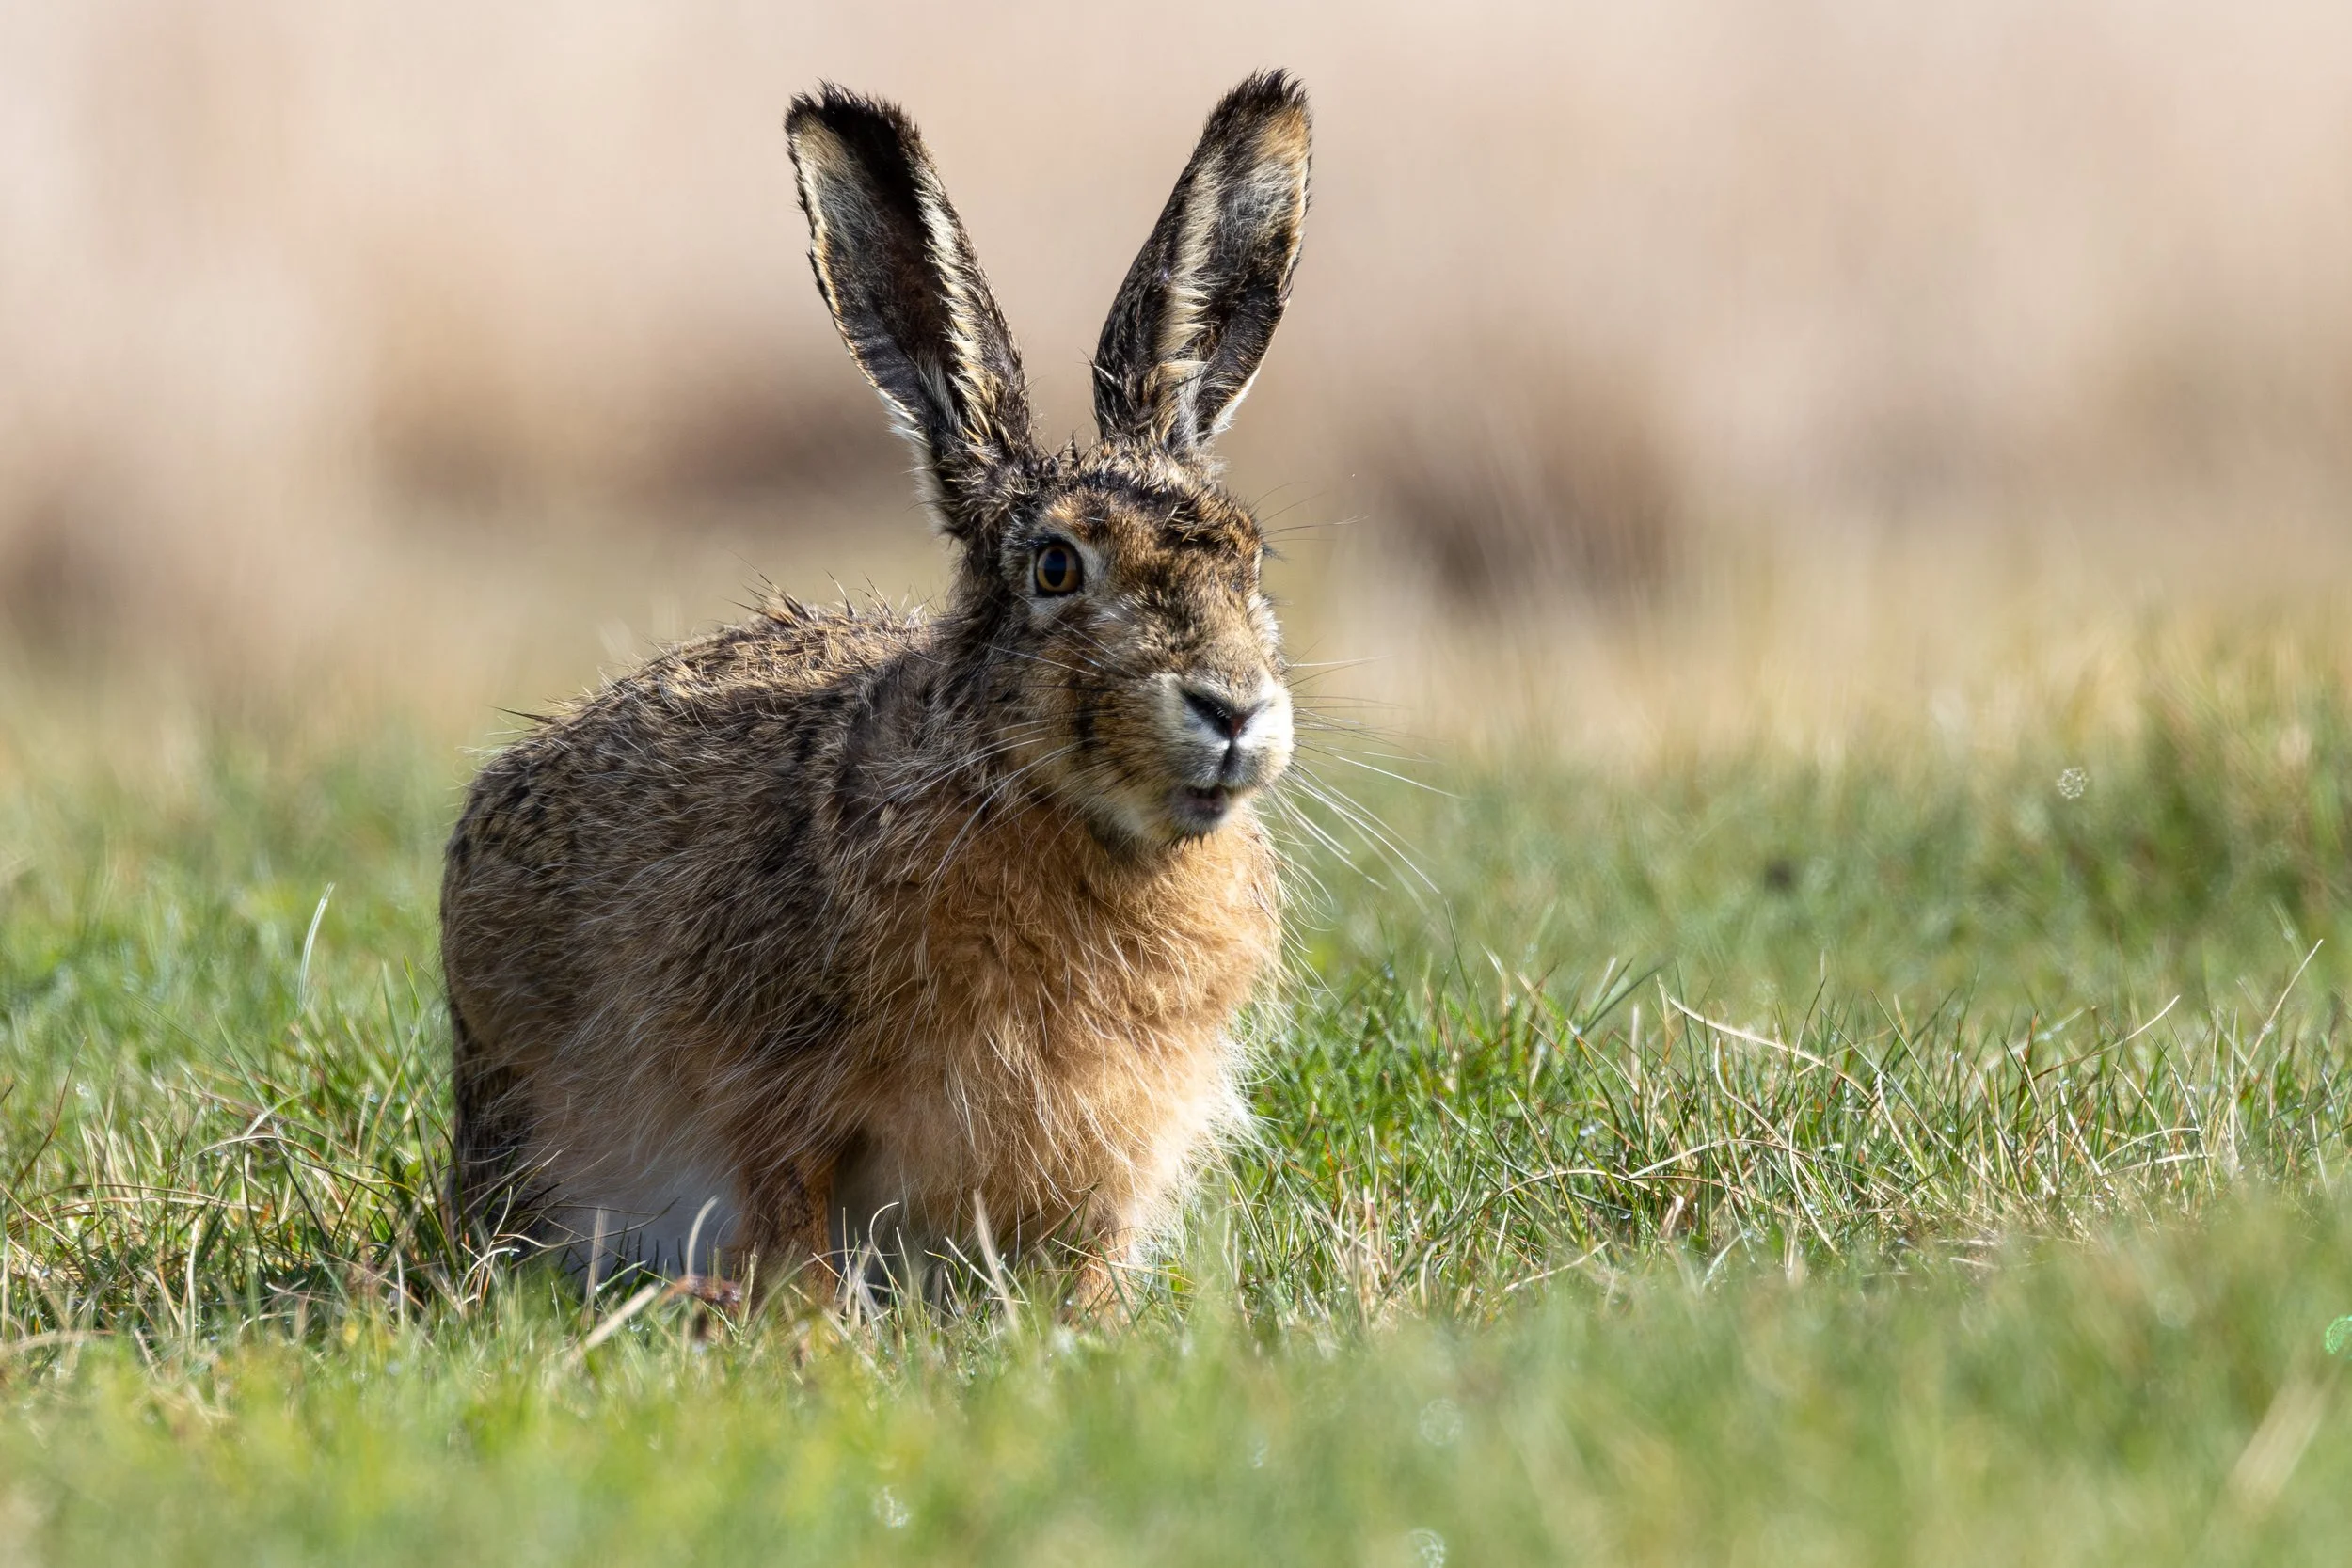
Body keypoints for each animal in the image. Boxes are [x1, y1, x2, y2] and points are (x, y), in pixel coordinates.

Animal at [440, 71, 1313, 1307]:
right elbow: (788, 1207)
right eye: (1055, 567)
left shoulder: (1132, 1140)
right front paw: (806, 1321)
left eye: (1250, 562)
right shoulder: (775, 1093)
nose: (1231, 707)